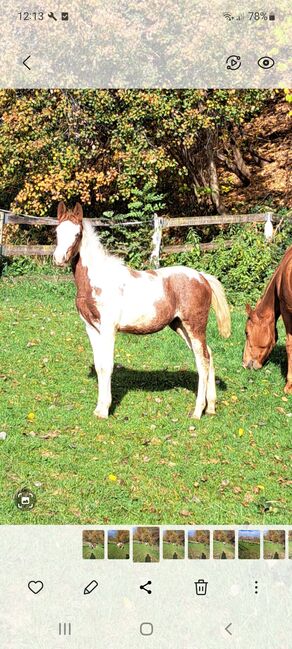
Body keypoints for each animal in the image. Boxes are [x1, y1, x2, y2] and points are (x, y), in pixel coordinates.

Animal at [52, 202, 230, 420]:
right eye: (57, 232)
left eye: (77, 234)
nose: (59, 259)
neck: (98, 280)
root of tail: (202, 277)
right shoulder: (91, 328)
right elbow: (99, 364)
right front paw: (98, 408)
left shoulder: (109, 328)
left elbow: (107, 366)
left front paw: (104, 410)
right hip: (180, 326)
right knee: (208, 354)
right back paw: (211, 407)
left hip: (194, 326)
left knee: (202, 360)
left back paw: (197, 411)